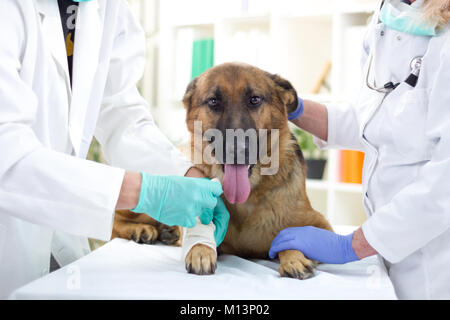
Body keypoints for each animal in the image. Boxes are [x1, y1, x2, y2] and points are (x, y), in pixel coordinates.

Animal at [112, 63, 330, 280]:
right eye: (213, 101)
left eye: (255, 99)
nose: (237, 149)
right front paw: (200, 248)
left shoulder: (320, 225)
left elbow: (297, 237)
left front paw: (293, 256)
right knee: (116, 219)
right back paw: (141, 229)